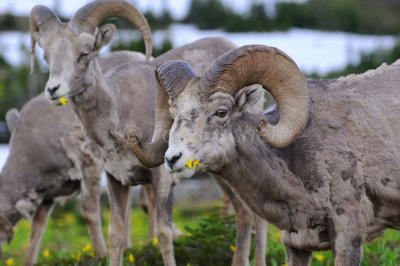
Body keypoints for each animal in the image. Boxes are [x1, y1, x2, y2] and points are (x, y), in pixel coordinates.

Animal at [30, 0, 268, 264]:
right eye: (46, 56)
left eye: (84, 53)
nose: (53, 90)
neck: (117, 116)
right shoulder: (116, 180)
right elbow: (116, 235)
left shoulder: (161, 179)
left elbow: (163, 234)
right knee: (243, 213)